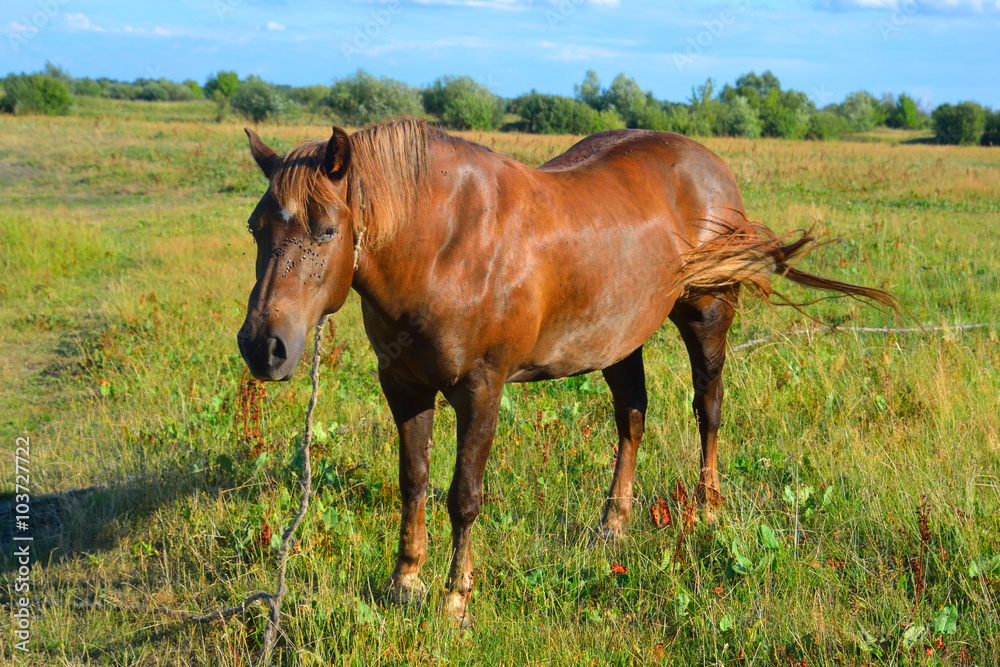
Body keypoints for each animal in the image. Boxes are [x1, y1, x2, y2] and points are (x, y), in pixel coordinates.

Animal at [236, 118, 896, 623]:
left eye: (327, 229)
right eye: (255, 227)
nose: (264, 346)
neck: (443, 245)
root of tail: (711, 166)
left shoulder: (481, 389)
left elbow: (464, 495)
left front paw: (456, 599)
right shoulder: (404, 386)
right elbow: (414, 481)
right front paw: (406, 581)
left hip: (708, 317)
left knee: (707, 409)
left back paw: (709, 510)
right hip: (619, 339)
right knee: (632, 418)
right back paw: (614, 524)